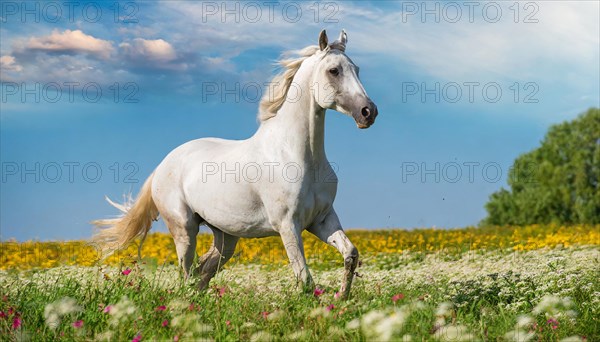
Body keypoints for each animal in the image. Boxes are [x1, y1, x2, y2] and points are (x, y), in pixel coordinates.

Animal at [92, 30, 378, 300]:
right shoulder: (288, 225)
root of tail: (162, 165)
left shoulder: (322, 219)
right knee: (187, 274)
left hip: (225, 236)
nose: (368, 112)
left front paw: (341, 298)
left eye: (357, 70)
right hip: (184, 230)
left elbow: (351, 254)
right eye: (334, 70)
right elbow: (305, 278)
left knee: (203, 272)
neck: (297, 156)